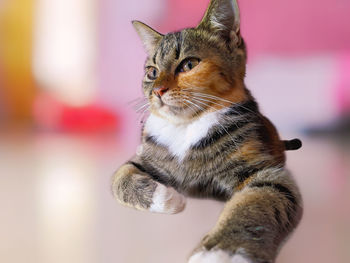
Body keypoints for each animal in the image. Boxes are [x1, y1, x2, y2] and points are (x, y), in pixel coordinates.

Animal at [111, 1, 300, 262]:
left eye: (189, 64)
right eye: (152, 72)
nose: (157, 91)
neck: (186, 127)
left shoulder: (267, 173)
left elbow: (257, 201)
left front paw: (225, 250)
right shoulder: (144, 158)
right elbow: (120, 178)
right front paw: (165, 197)